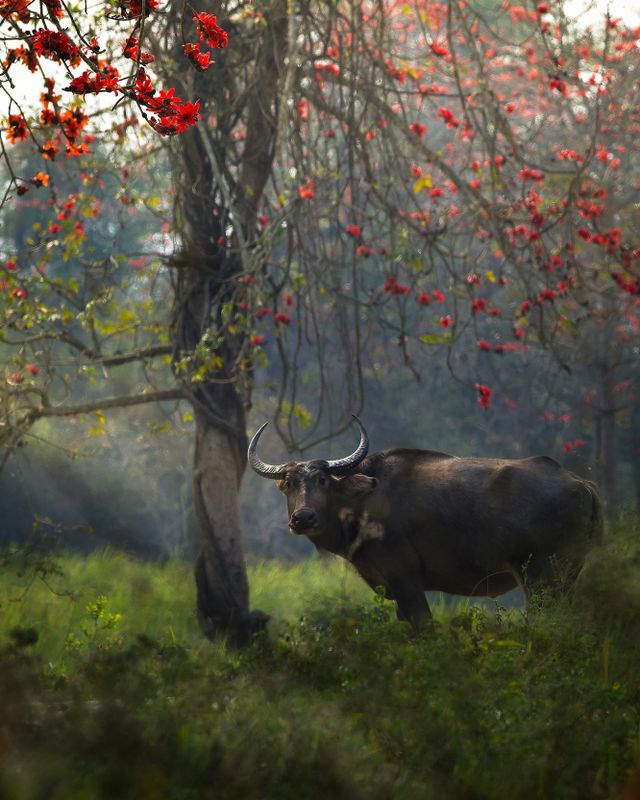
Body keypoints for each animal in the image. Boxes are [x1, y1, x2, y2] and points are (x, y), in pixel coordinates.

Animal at [248, 417, 603, 629]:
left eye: (323, 480)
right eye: (289, 484)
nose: (303, 517)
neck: (365, 501)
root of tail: (581, 485)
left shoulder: (405, 579)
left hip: (542, 576)